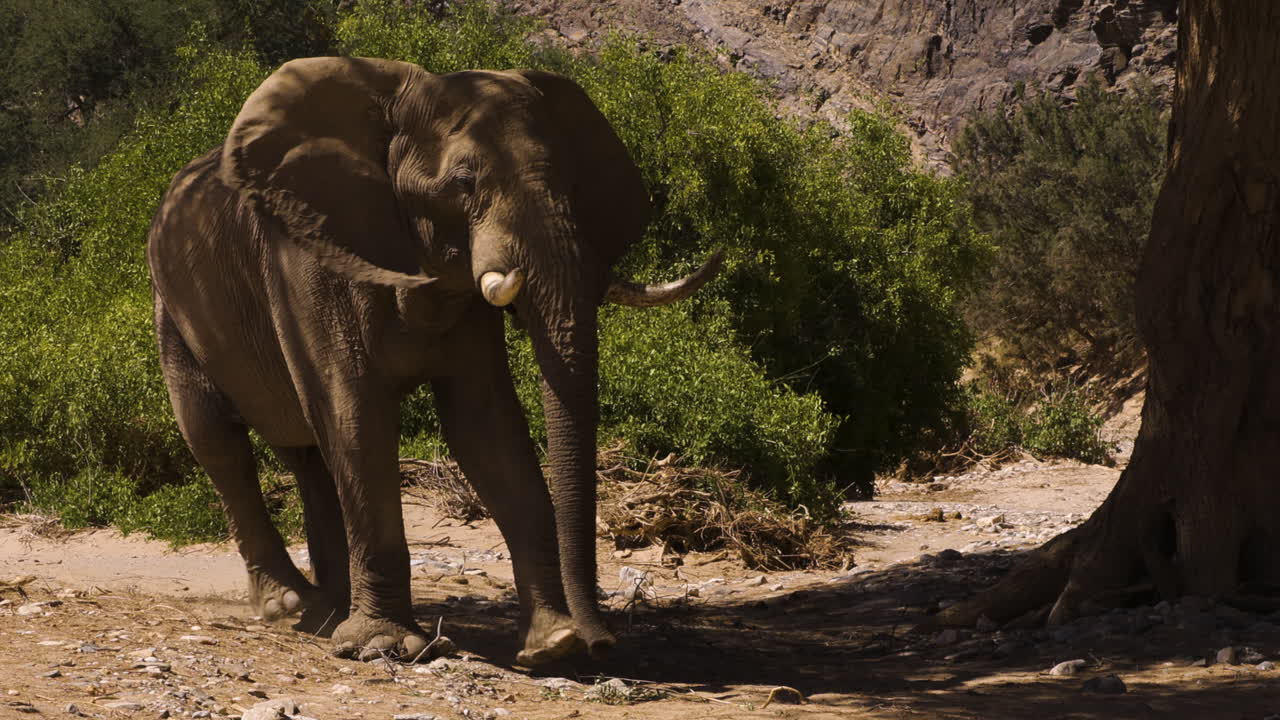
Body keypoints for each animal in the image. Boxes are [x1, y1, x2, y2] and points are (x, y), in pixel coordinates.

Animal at [146, 56, 720, 665]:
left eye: (573, 184)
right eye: (464, 183)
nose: (602, 641)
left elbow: (485, 424)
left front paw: (551, 645)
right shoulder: (306, 263)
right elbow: (358, 417)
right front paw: (385, 646)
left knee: (306, 455)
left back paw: (329, 612)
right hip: (172, 309)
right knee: (218, 440)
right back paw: (291, 608)